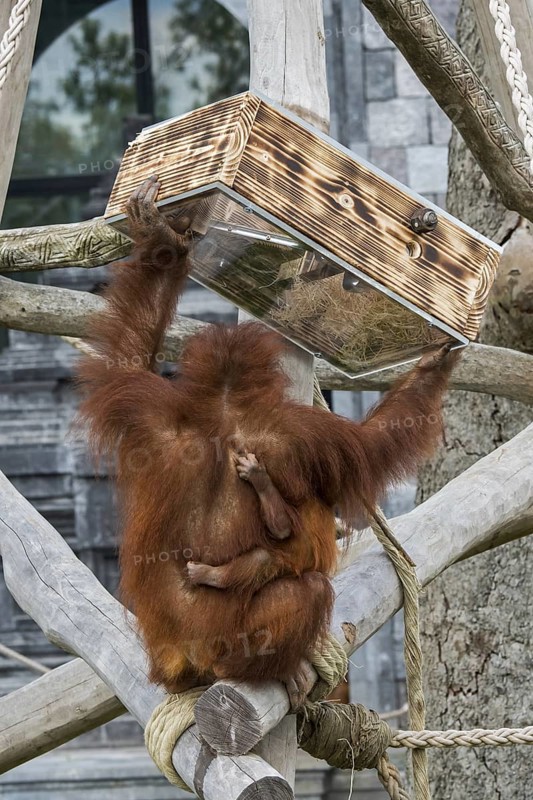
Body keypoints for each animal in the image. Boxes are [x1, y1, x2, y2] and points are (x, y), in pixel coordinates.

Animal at [76, 175, 459, 707]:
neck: (224, 405)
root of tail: (189, 657)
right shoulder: (311, 435)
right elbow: (372, 445)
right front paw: (434, 365)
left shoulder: (144, 406)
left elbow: (126, 354)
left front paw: (157, 233)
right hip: (231, 642)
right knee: (309, 587)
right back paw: (280, 667)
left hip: (171, 657)